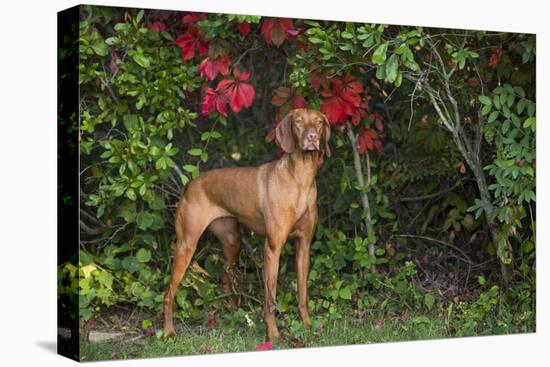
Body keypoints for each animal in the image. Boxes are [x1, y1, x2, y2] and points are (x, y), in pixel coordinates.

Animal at [164, 108, 332, 342]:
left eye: (318, 122)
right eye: (298, 122)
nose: (312, 138)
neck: (300, 179)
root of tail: (190, 184)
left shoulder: (304, 247)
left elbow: (302, 294)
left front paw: (307, 326)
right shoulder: (272, 248)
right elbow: (270, 300)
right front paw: (273, 335)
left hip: (232, 242)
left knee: (224, 278)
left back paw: (233, 314)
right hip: (186, 245)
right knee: (168, 293)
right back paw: (168, 331)